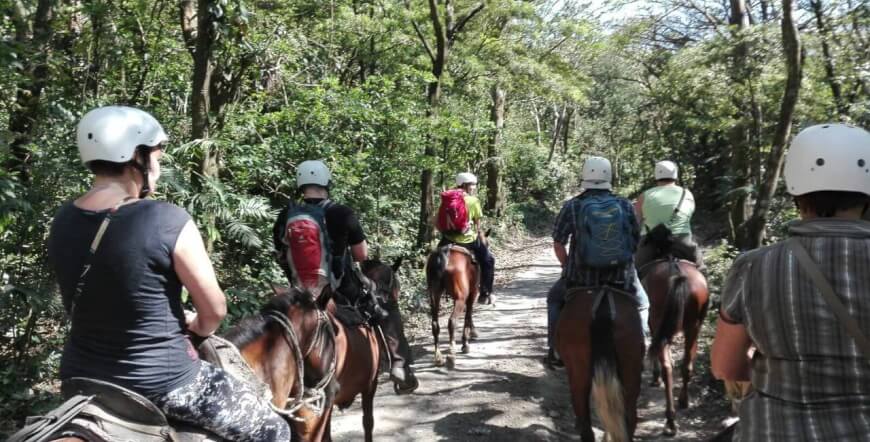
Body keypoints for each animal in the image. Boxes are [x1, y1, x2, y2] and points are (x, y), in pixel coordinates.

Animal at [644, 258, 712, 436]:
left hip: (658, 319)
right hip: (694, 326)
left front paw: (655, 378)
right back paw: (683, 402)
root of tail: (677, 273)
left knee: (667, 368)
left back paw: (670, 420)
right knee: (686, 365)